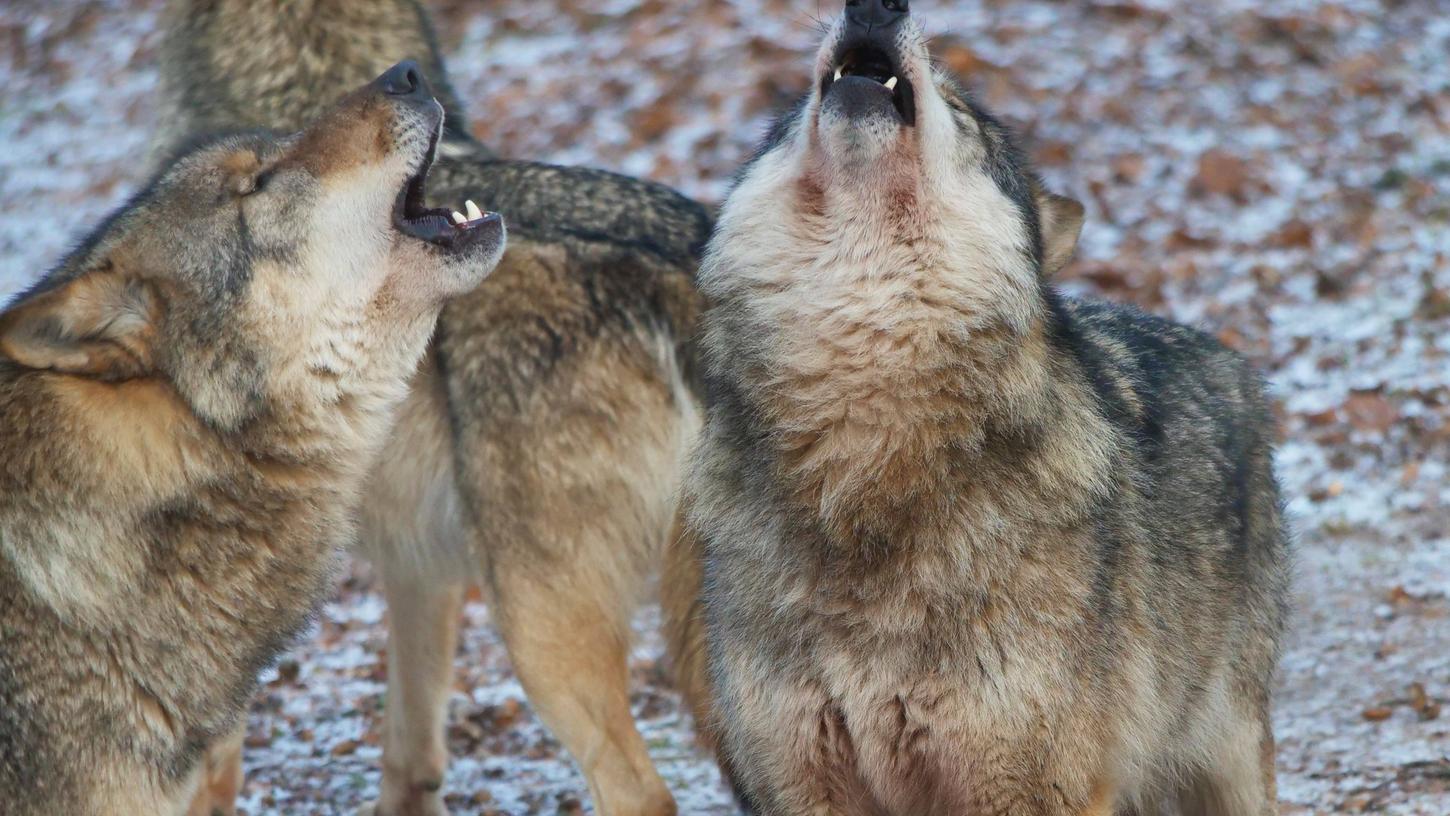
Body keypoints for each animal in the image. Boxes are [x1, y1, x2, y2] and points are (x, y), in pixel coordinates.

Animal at [684, 1, 1299, 816]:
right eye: (789, 117)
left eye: (963, 110)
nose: (876, 7)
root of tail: (1230, 360)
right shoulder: (799, 783)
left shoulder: (1024, 785)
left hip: (1225, 762)